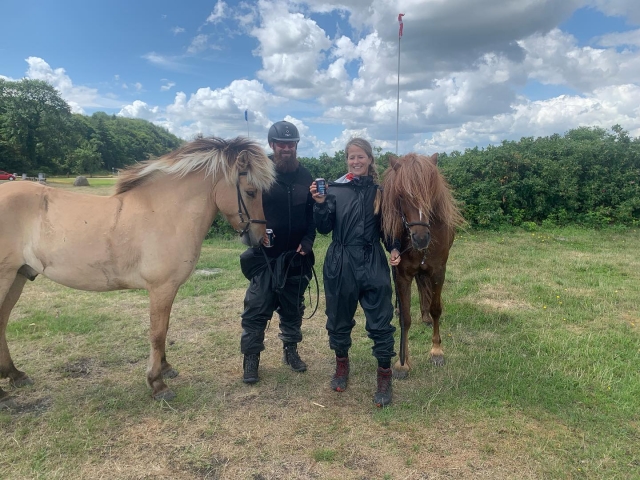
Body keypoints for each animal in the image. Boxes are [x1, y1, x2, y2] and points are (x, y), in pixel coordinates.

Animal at [0, 136, 275, 406]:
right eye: (251, 192)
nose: (261, 238)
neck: (165, 213)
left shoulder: (167, 290)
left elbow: (165, 329)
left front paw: (165, 368)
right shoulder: (161, 288)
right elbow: (157, 333)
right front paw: (157, 384)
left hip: (18, 278)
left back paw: (15, 375)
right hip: (6, 278)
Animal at [381, 153, 464, 379]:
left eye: (431, 193)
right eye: (401, 195)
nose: (420, 238)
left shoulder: (438, 272)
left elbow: (436, 309)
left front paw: (436, 351)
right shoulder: (402, 274)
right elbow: (406, 319)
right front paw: (402, 363)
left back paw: (425, 316)